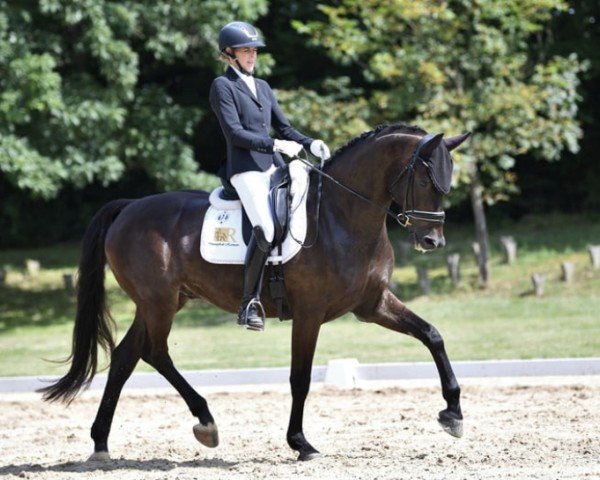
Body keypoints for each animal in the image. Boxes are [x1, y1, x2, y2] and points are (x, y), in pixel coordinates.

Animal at [41, 123, 474, 462]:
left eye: (448, 181)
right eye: (424, 180)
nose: (432, 242)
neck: (341, 216)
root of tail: (130, 207)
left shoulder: (373, 304)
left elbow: (432, 334)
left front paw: (453, 413)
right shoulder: (310, 312)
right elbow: (300, 377)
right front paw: (301, 443)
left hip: (160, 302)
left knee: (126, 356)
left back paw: (101, 443)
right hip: (158, 302)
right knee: (153, 353)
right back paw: (206, 423)